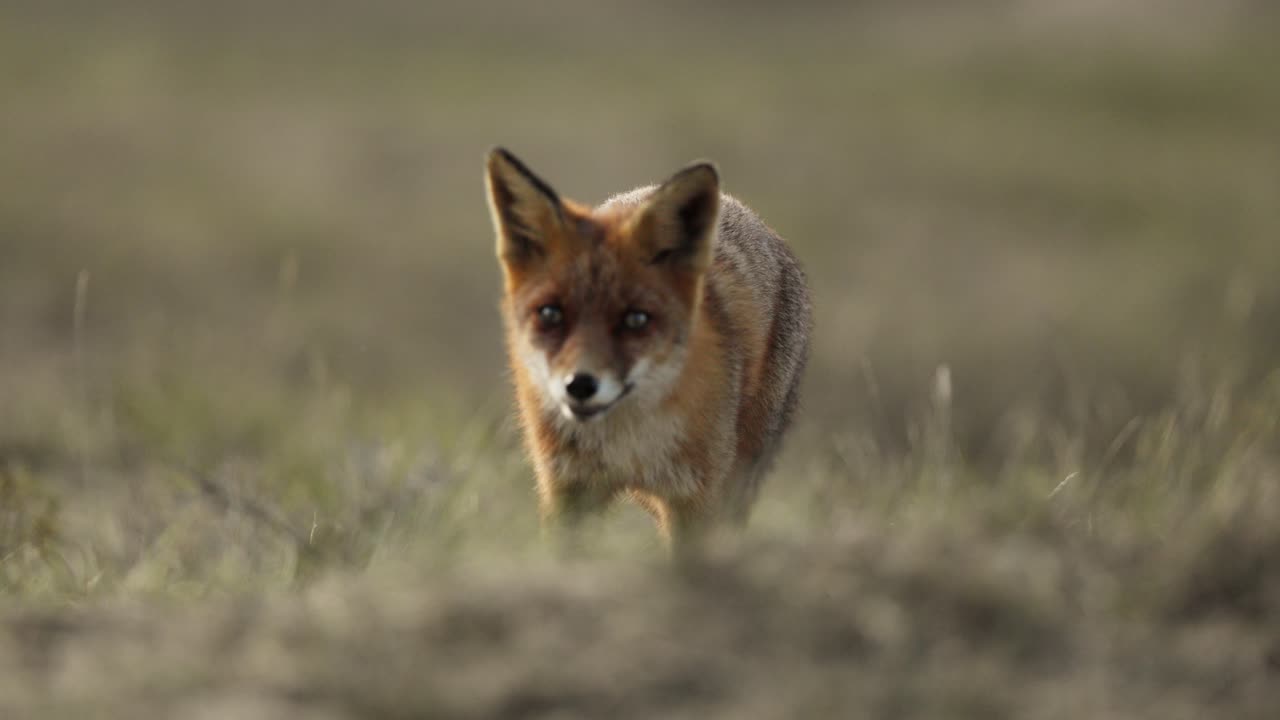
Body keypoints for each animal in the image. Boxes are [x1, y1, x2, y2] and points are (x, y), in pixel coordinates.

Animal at [484, 147, 812, 555]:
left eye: (636, 319)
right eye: (550, 314)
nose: (580, 385)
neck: (626, 438)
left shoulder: (695, 496)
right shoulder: (569, 489)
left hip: (740, 474)